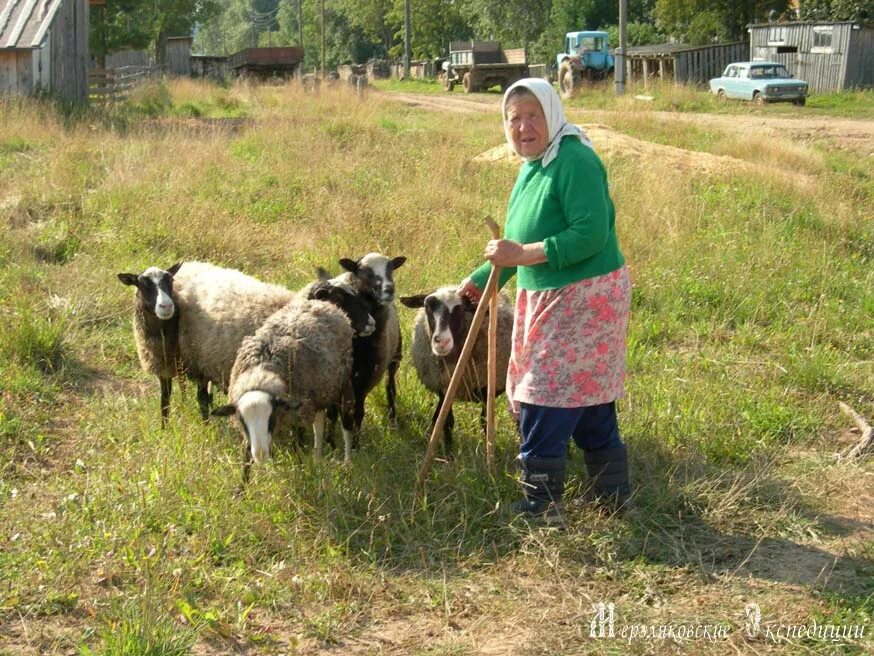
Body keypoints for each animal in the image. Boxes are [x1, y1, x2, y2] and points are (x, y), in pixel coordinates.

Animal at [214, 294, 372, 480]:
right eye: (242, 420)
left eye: (271, 418)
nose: (260, 454)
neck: (262, 371)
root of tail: (324, 304)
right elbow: (245, 457)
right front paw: (243, 486)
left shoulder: (297, 414)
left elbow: (297, 446)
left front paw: (302, 472)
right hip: (319, 391)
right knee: (319, 424)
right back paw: (317, 459)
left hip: (343, 383)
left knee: (346, 423)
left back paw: (347, 463)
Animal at [400, 288, 516, 456]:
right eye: (427, 307)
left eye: (460, 309)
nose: (441, 341)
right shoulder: (444, 388)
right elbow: (447, 421)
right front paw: (448, 454)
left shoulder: (486, 388)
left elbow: (485, 421)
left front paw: (487, 451)